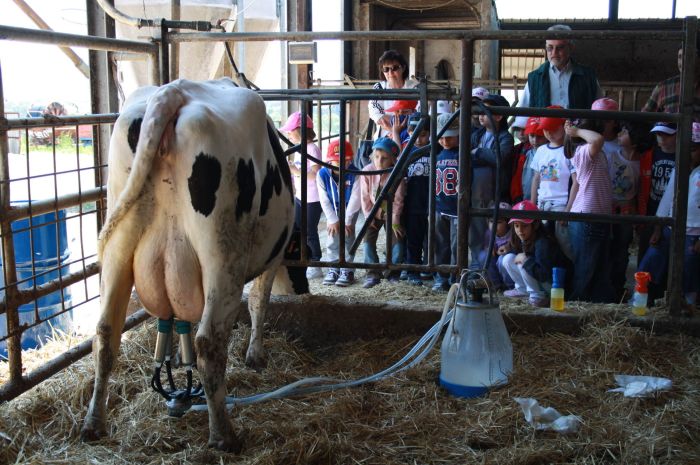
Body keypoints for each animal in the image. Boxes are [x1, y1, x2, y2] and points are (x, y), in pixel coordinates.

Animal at [81, 78, 302, 452]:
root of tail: (173, 92)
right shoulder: (272, 257)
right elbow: (259, 302)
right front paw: (255, 355)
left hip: (117, 246)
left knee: (106, 333)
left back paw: (93, 423)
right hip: (222, 254)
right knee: (209, 343)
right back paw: (224, 435)